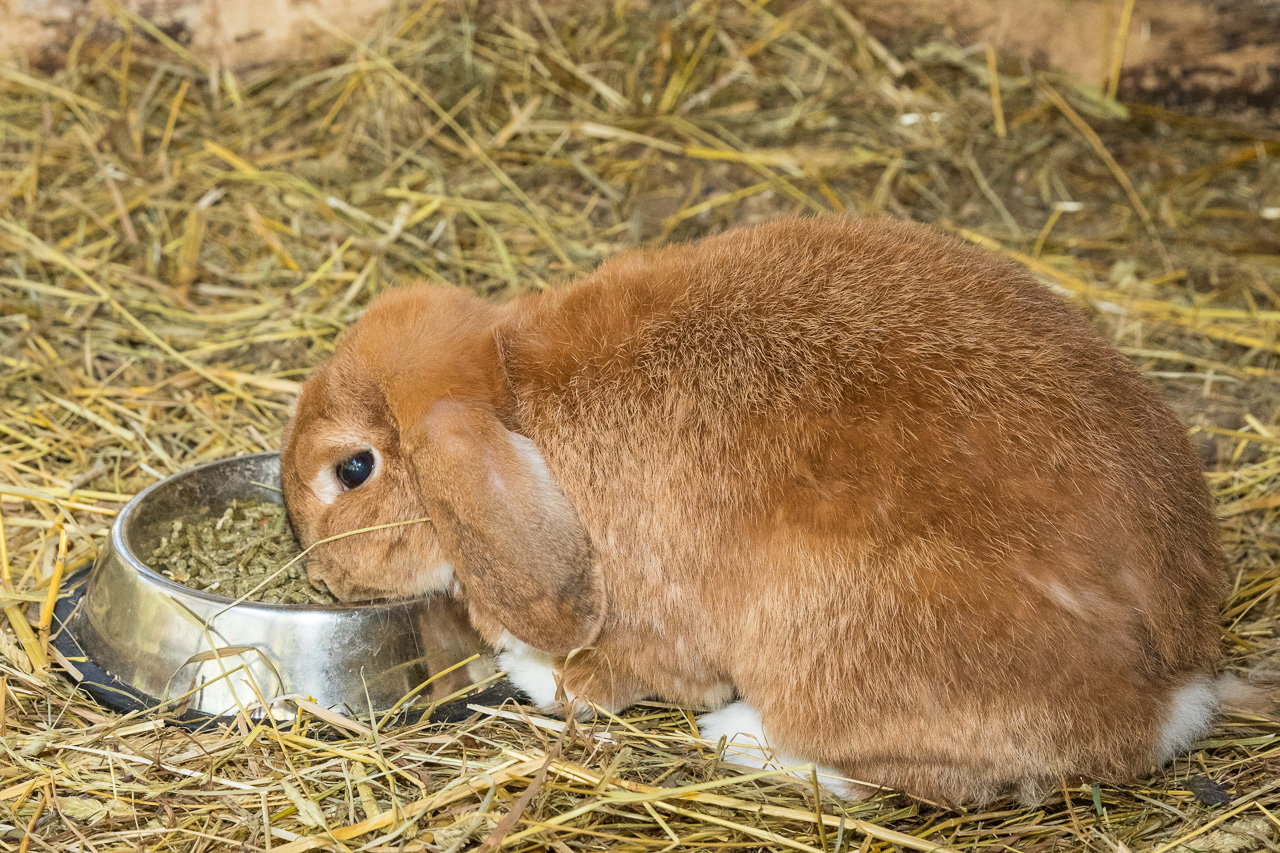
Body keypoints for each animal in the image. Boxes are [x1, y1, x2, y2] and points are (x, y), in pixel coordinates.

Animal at [280, 216, 1231, 805]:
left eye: (352, 468)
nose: (319, 570)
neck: (510, 394)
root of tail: (1175, 686)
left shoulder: (655, 625)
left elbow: (618, 675)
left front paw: (534, 671)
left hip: (835, 639)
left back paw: (737, 735)